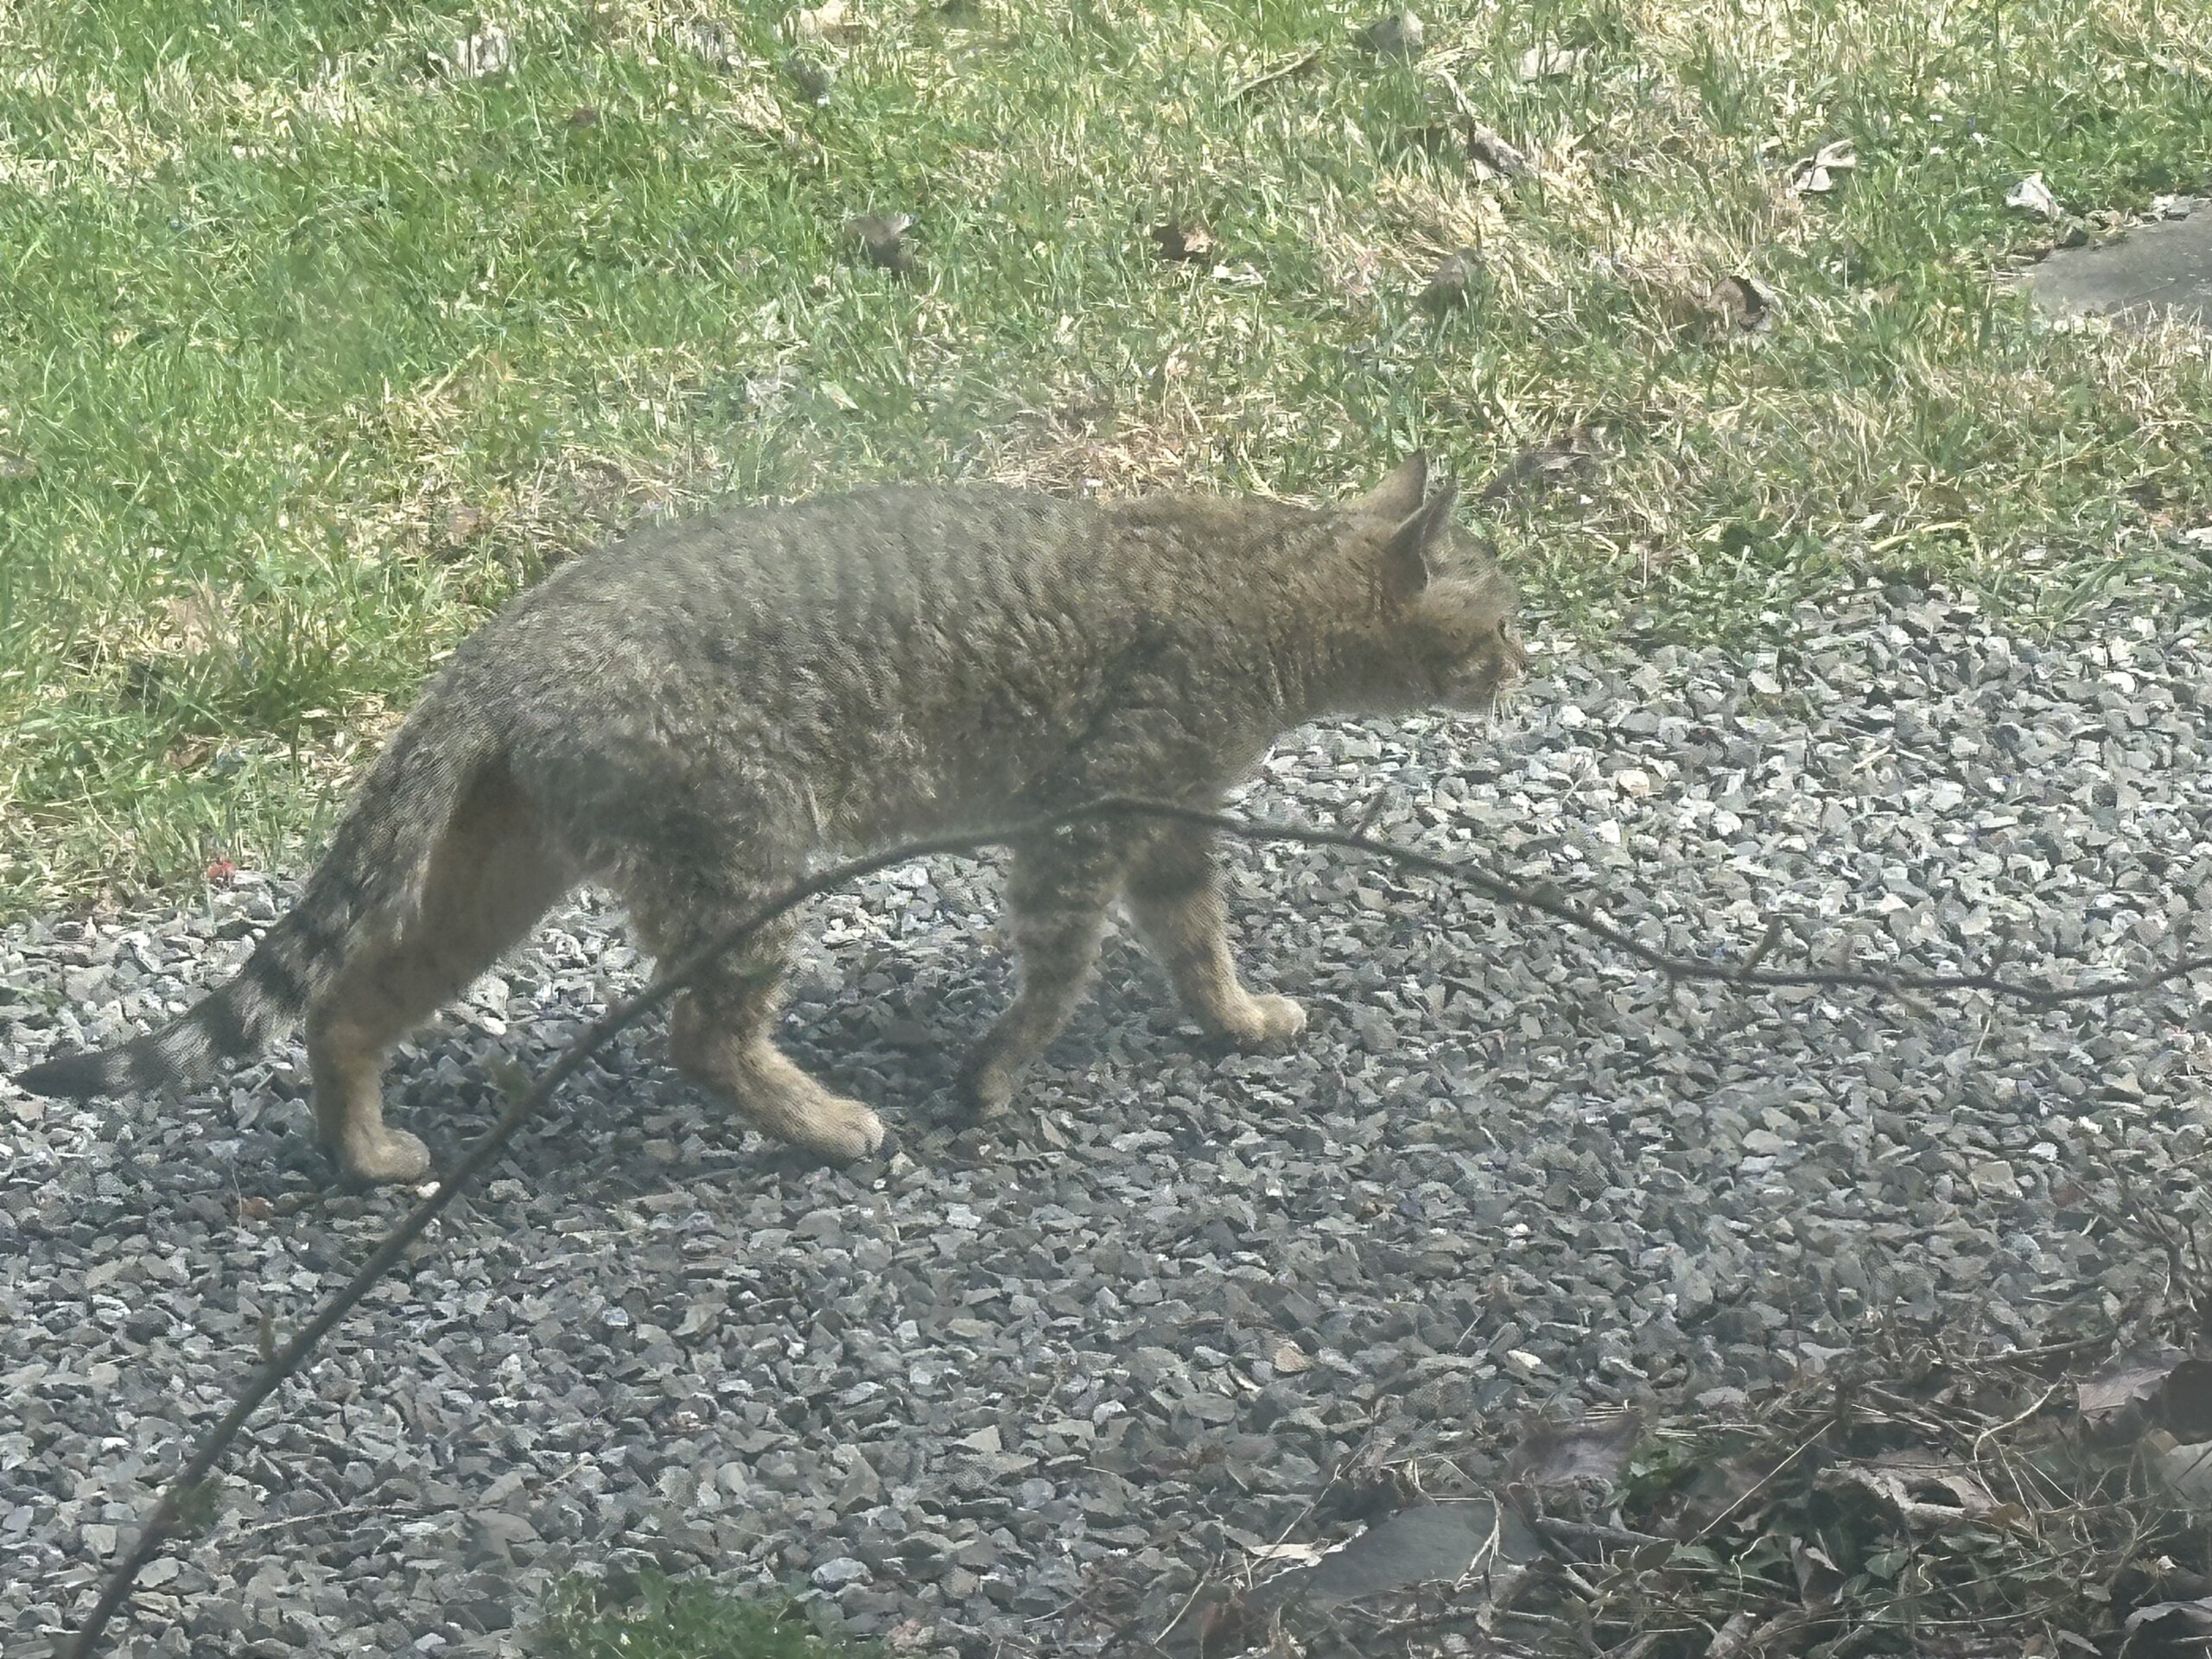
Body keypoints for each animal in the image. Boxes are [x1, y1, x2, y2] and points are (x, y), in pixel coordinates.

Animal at [15, 455, 1525, 1184]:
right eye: (1502, 615)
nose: (1520, 665)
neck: (1267, 587)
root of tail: (492, 650)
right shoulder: (1084, 819)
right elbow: (1059, 971)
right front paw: (994, 1078)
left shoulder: (1167, 825)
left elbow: (1198, 943)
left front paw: (1238, 1020)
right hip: (738, 857)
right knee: (702, 1039)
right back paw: (828, 1125)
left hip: (503, 879)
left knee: (348, 1000)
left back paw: (366, 1153)